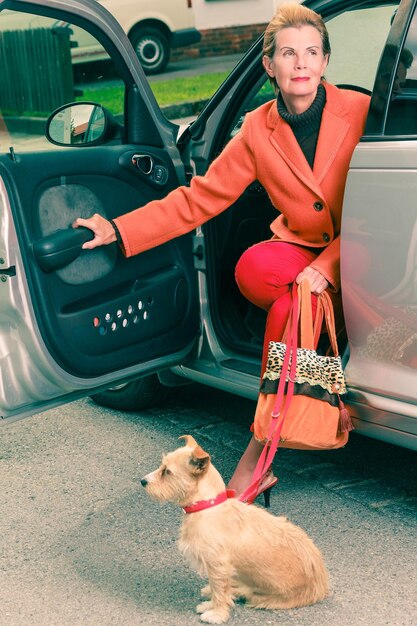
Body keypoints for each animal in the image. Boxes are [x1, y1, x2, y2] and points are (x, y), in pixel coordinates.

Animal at [140, 434, 328, 620]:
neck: (208, 505)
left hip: (264, 597)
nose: (142, 481)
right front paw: (212, 604)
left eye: (167, 471)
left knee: (248, 593)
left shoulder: (218, 566)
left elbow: (220, 592)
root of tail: (321, 586)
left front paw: (217, 614)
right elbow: (219, 589)